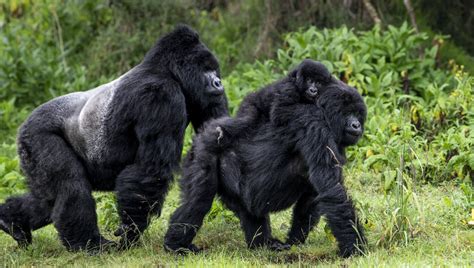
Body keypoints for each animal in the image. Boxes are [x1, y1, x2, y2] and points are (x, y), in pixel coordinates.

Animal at [0, 24, 228, 251]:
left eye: (214, 69)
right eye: (205, 69)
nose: (218, 82)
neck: (168, 71)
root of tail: (24, 125)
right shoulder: (160, 96)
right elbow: (150, 170)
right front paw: (132, 229)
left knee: (47, 199)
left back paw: (12, 222)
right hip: (36, 136)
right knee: (70, 187)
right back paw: (89, 244)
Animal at [165, 59, 368, 258]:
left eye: (358, 114)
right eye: (347, 112)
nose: (356, 125)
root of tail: (204, 131)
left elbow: (313, 198)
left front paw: (294, 241)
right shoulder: (315, 124)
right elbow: (331, 188)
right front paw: (355, 247)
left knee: (249, 212)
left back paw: (262, 244)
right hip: (204, 150)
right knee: (198, 200)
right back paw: (176, 245)